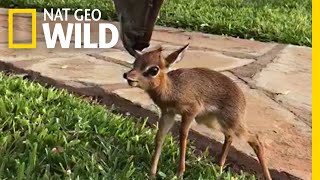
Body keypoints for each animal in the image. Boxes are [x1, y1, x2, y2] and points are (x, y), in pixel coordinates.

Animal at [122, 44, 272, 180]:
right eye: (135, 62)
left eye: (154, 69)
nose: (127, 75)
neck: (172, 89)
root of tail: (242, 97)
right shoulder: (168, 113)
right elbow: (160, 137)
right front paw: (152, 173)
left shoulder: (190, 111)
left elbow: (183, 136)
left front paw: (180, 172)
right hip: (214, 122)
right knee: (229, 137)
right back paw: (219, 167)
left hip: (232, 122)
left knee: (256, 139)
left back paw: (266, 176)